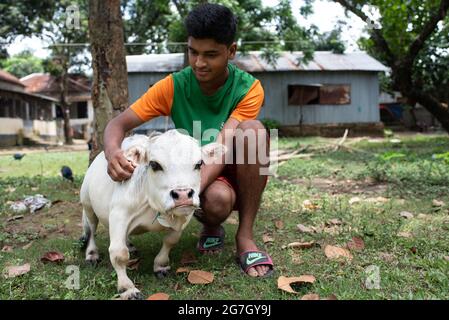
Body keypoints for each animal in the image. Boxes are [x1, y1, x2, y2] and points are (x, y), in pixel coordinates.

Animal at [80, 130, 222, 300]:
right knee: (91, 230)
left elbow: (170, 241)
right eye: (155, 164)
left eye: (199, 164)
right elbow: (119, 254)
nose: (183, 195)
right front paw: (127, 288)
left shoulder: (183, 217)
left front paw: (160, 266)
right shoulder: (119, 214)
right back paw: (92, 254)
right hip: (88, 205)